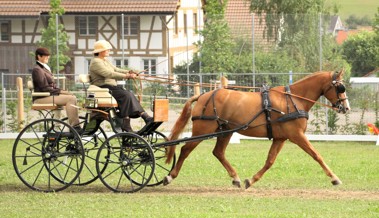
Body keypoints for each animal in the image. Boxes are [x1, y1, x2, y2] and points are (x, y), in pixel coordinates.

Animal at [165, 70, 352, 188]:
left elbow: (270, 161)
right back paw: (170, 176)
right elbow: (316, 155)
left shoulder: (280, 138)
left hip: (225, 131)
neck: (293, 100)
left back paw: (236, 178)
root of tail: (203, 96)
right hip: (203, 130)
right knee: (185, 149)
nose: (346, 107)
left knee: (218, 152)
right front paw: (334, 178)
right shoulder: (297, 135)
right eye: (340, 87)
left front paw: (251, 180)